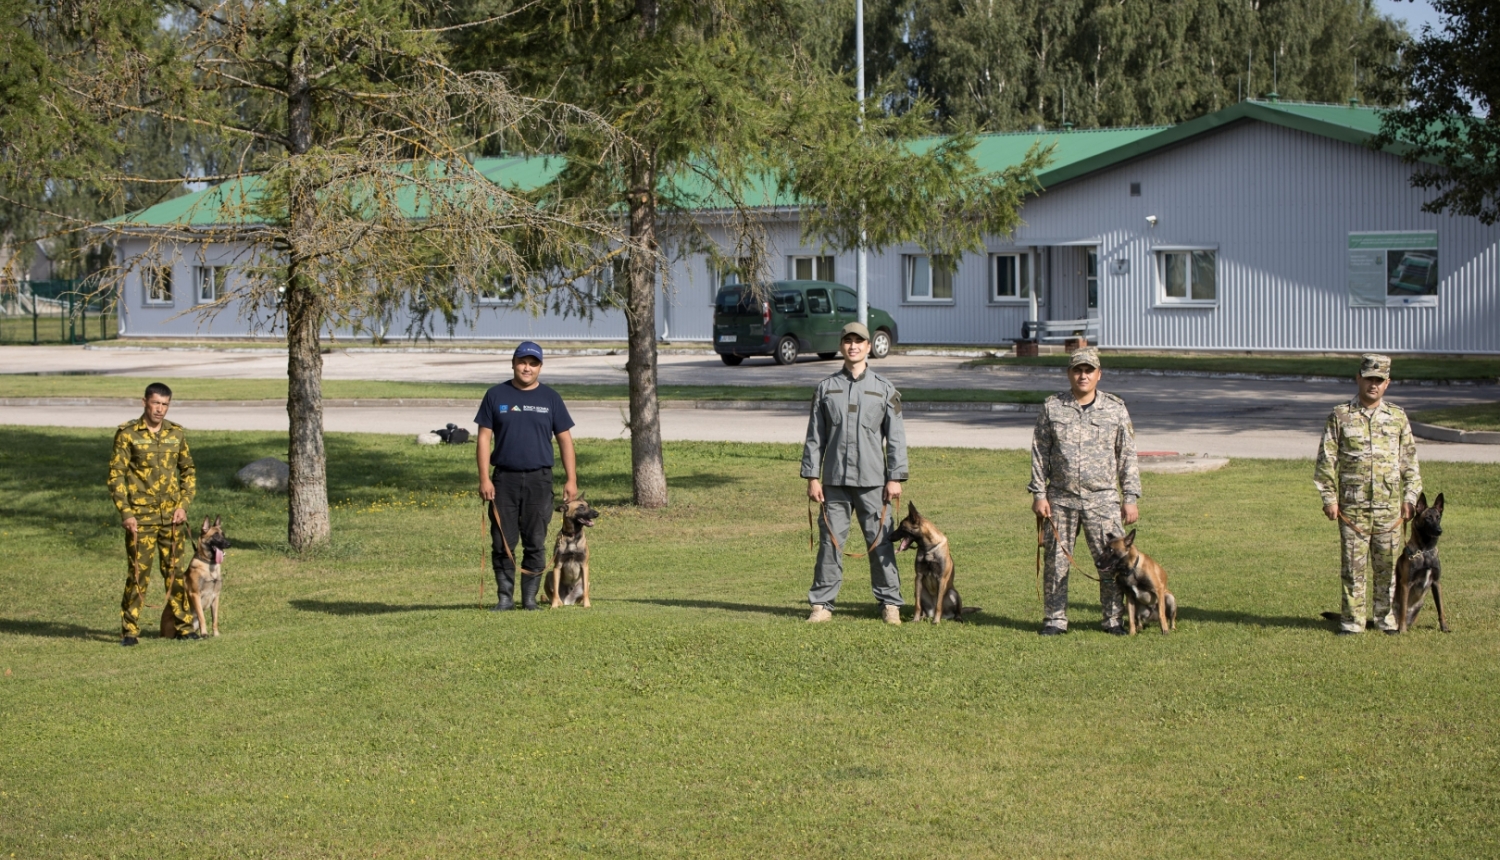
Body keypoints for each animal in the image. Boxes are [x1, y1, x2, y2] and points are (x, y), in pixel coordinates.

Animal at [1398, 489, 1446, 630]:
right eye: (1428, 518)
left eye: (1438, 517)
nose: (1439, 530)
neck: (1424, 551)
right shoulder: (1406, 583)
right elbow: (1403, 610)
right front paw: (1402, 630)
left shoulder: (1436, 582)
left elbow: (1441, 609)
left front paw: (1444, 627)